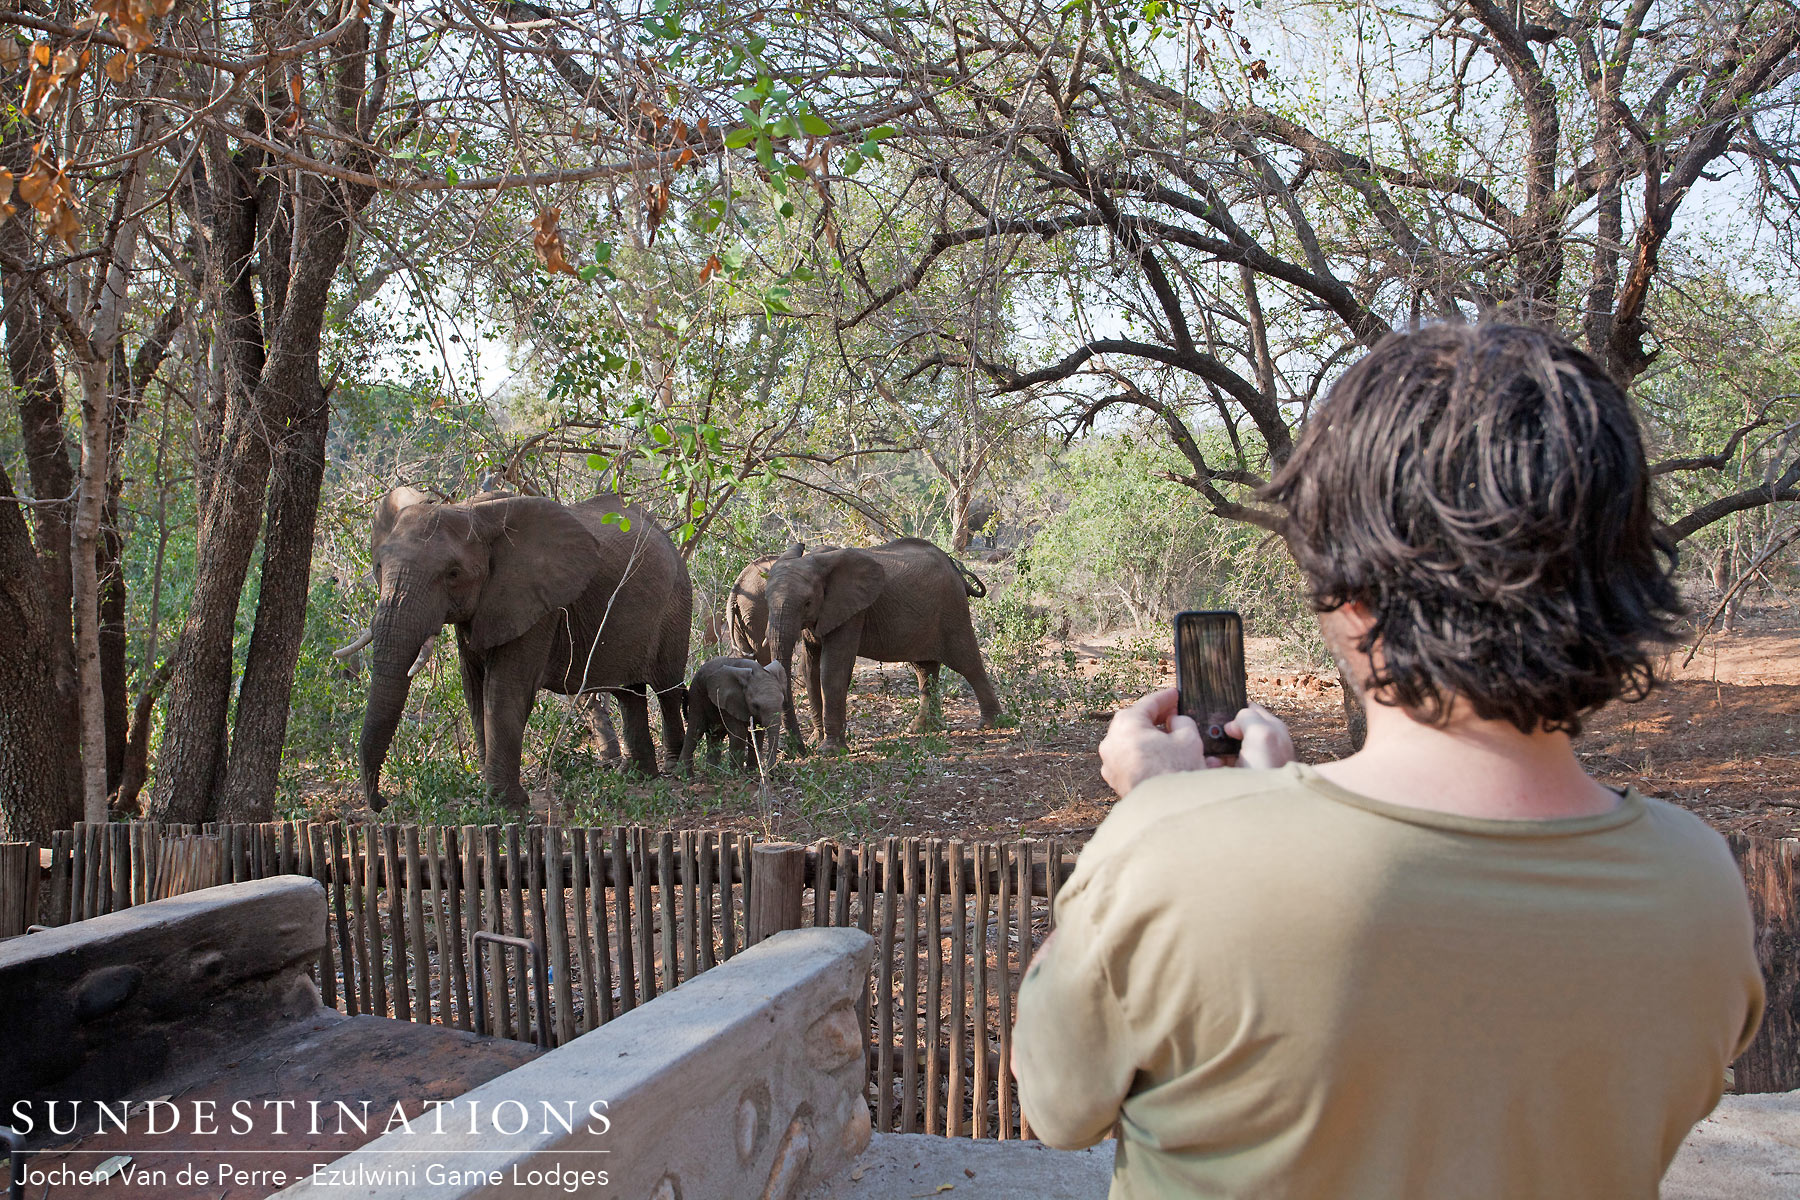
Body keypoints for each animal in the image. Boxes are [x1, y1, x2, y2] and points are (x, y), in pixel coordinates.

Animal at [344, 486, 691, 811]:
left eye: (453, 574)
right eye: (379, 566)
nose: (381, 803)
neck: (471, 511)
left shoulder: (536, 603)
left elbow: (503, 690)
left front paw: (506, 805)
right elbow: (475, 691)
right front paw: (495, 800)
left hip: (676, 599)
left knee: (667, 688)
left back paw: (673, 768)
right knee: (628, 693)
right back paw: (636, 775)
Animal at [762, 539, 1002, 749]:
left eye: (807, 603)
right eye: (766, 601)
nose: (798, 749)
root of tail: (956, 569)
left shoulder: (852, 613)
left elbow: (832, 670)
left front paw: (829, 750)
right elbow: (810, 669)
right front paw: (815, 742)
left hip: (952, 607)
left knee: (967, 661)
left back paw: (991, 724)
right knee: (924, 668)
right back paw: (922, 729)